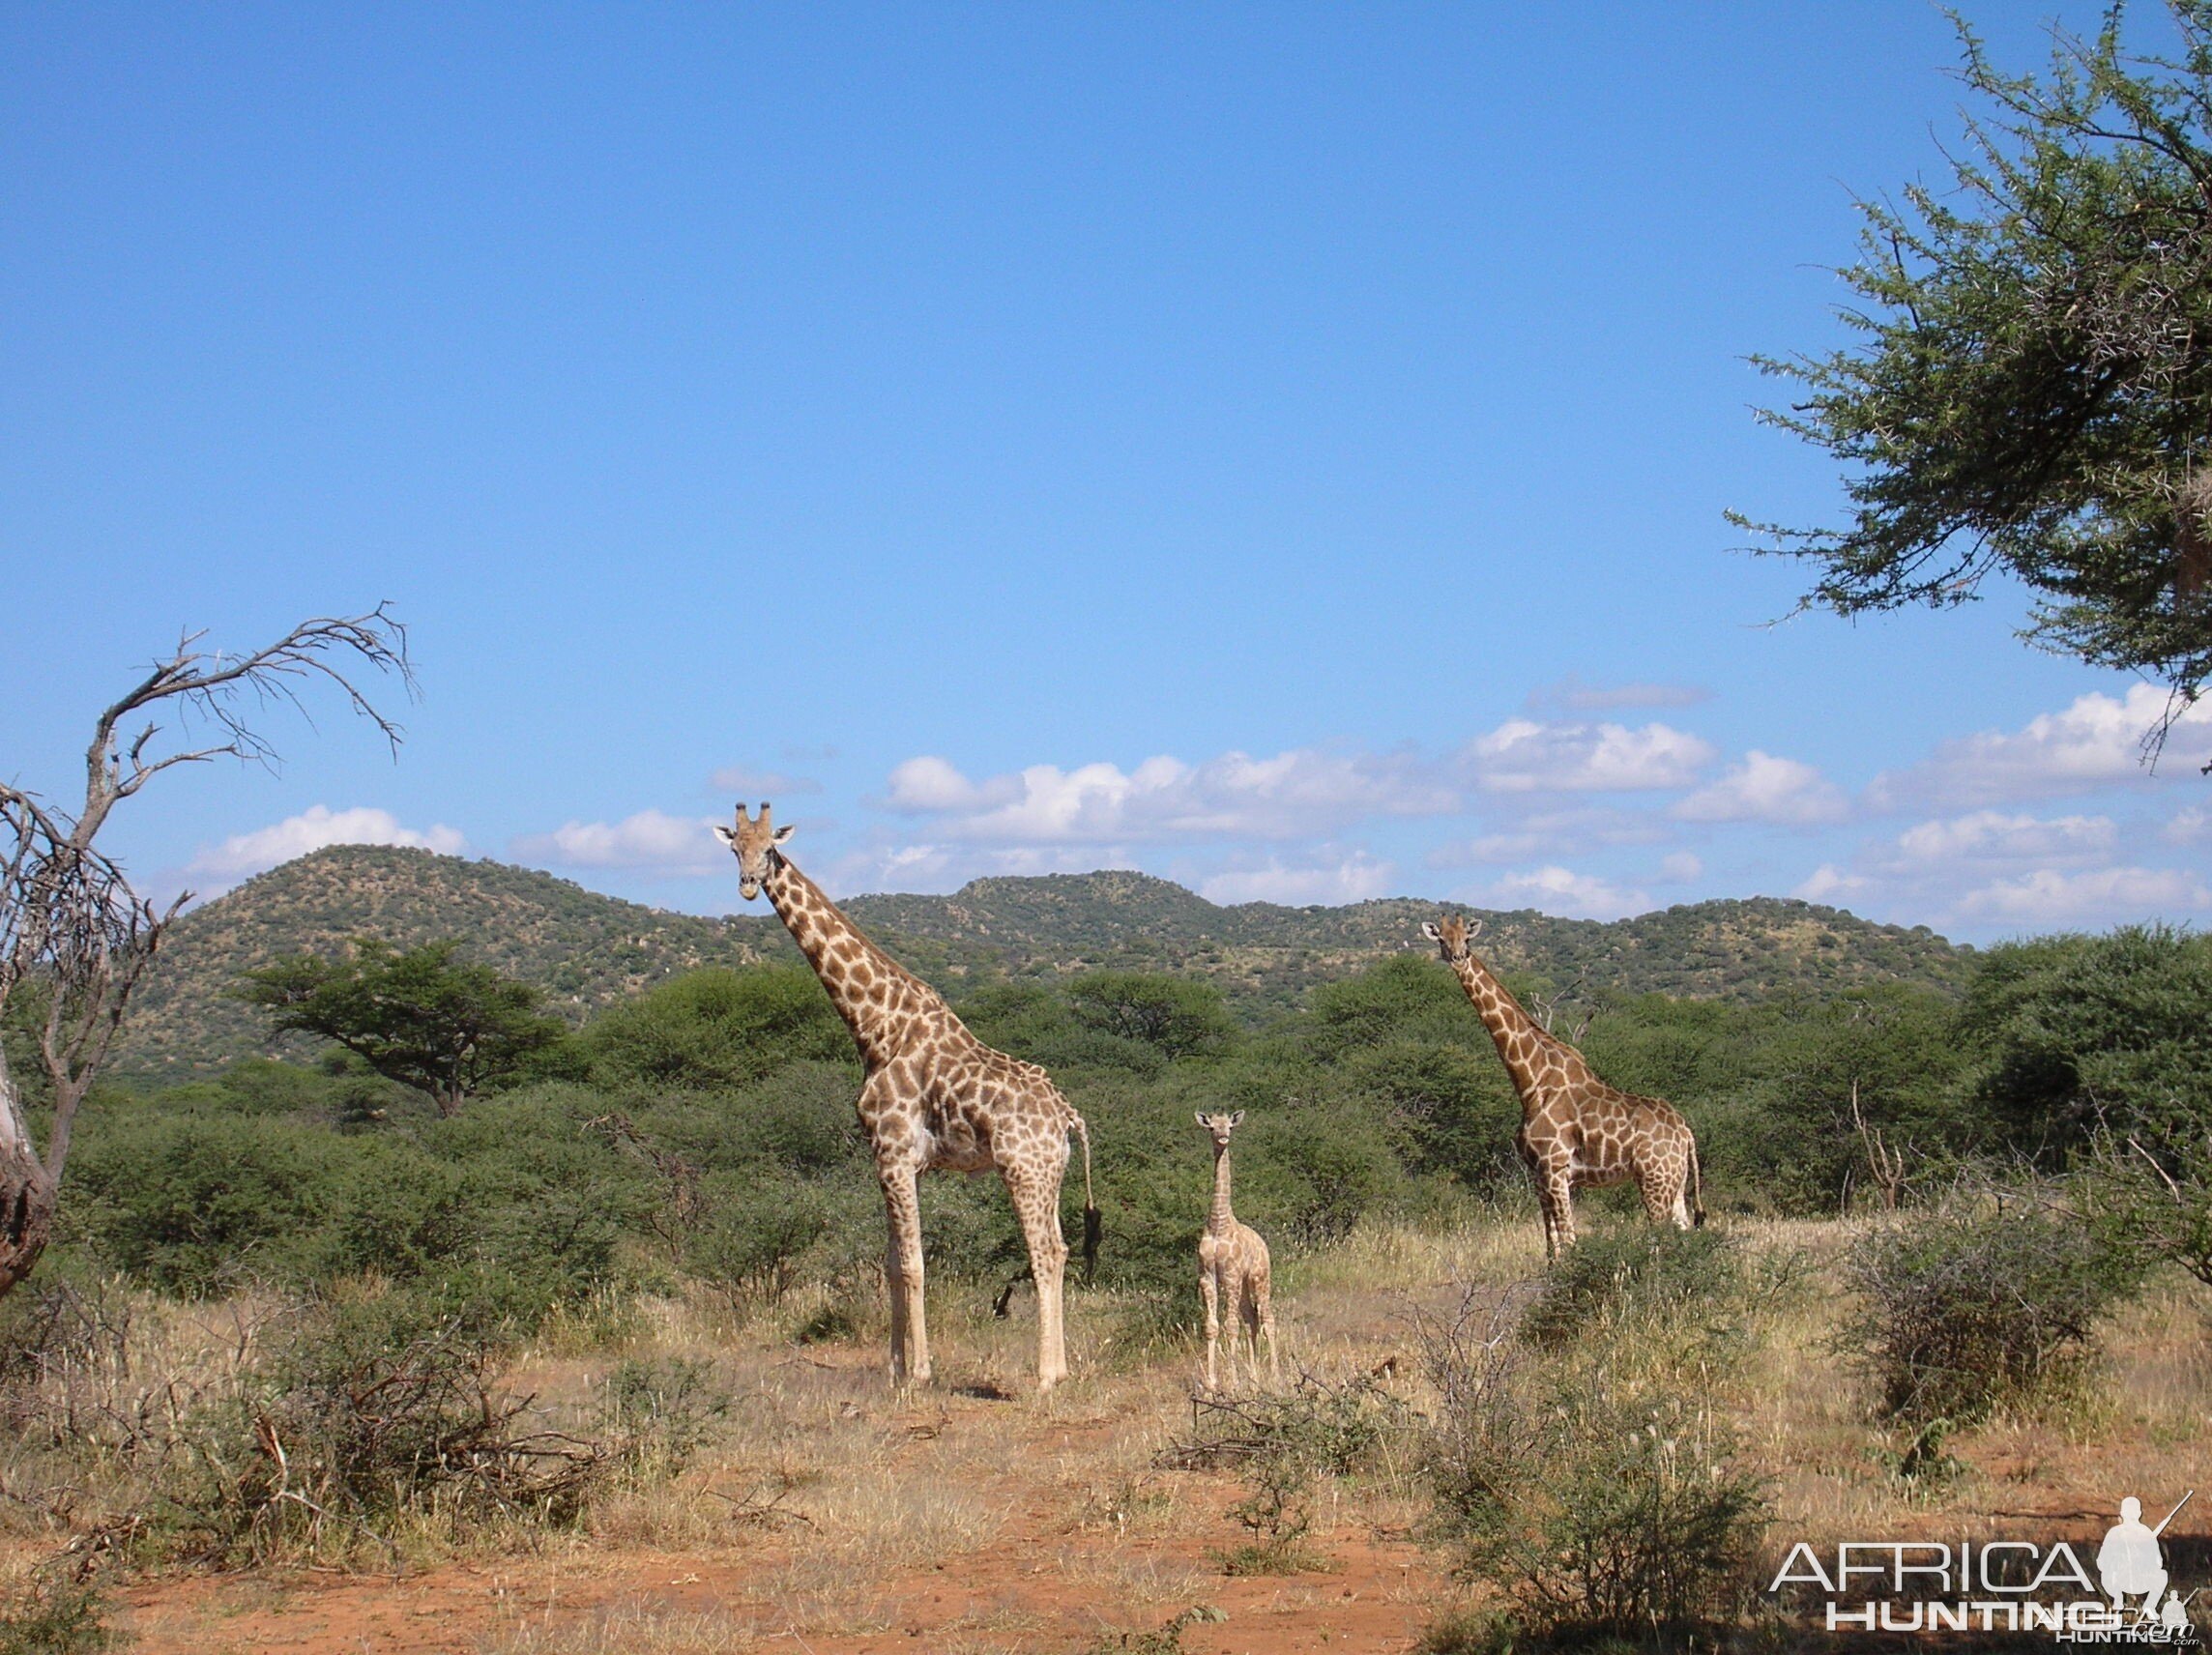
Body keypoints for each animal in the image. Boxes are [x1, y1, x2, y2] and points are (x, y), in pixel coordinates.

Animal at [716, 809, 1096, 1389]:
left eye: (769, 849)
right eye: (735, 847)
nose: (746, 885)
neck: (876, 1026)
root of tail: (1067, 1115)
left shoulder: (893, 1153)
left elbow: (915, 1264)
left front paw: (919, 1371)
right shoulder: (895, 1161)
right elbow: (894, 1264)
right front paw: (895, 1368)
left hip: (1023, 1170)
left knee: (1046, 1253)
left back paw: (1045, 1376)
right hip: (1049, 1173)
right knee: (1061, 1248)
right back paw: (1062, 1370)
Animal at [1194, 1110, 1283, 1398]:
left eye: (1230, 1126)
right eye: (1211, 1127)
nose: (1223, 1137)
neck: (1218, 1223)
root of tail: (1263, 1244)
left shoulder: (1231, 1275)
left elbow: (1230, 1326)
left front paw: (1232, 1383)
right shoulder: (1207, 1276)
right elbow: (1212, 1327)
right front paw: (1211, 1384)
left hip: (1260, 1278)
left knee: (1268, 1319)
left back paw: (1275, 1378)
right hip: (1244, 1285)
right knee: (1251, 1319)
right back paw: (1254, 1379)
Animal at [1424, 915, 1699, 1257]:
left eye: (1467, 939)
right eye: (1442, 939)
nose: (1458, 958)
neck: (1532, 1081)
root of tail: (1685, 1133)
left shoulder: (1556, 1169)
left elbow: (1568, 1241)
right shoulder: (1540, 1175)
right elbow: (1552, 1246)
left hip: (1654, 1179)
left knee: (1660, 1238)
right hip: (1676, 1181)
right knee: (1684, 1231)